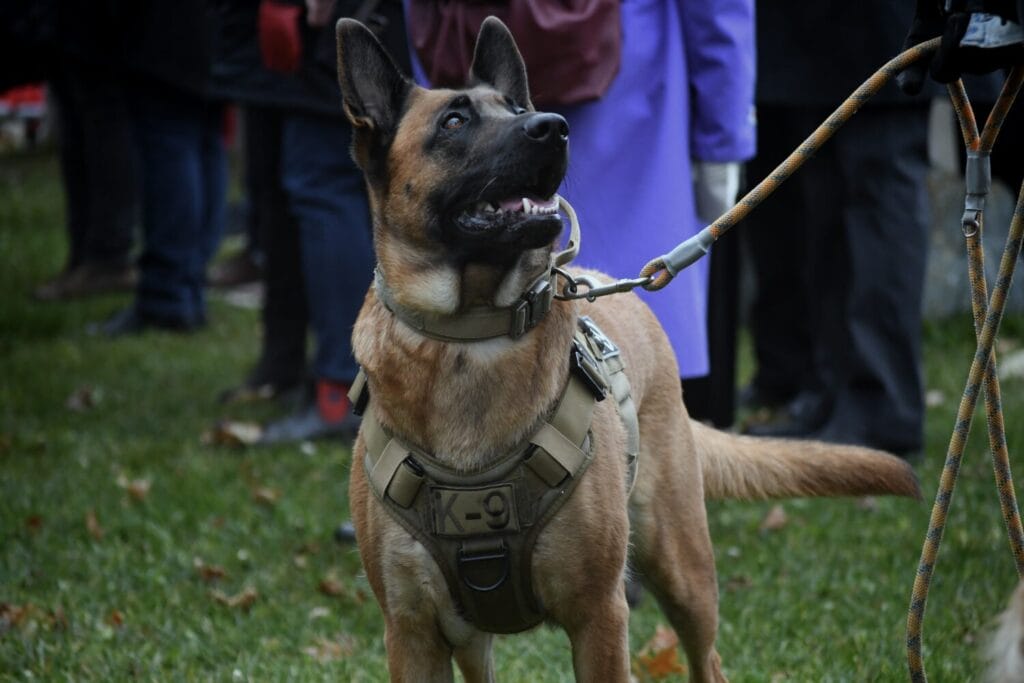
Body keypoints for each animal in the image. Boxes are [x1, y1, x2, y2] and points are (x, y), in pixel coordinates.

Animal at [335, 15, 921, 683]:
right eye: (454, 122)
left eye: (518, 108)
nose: (554, 126)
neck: (472, 336)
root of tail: (617, 283)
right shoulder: (413, 633)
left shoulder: (599, 618)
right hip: (473, 637)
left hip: (682, 567)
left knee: (707, 659)